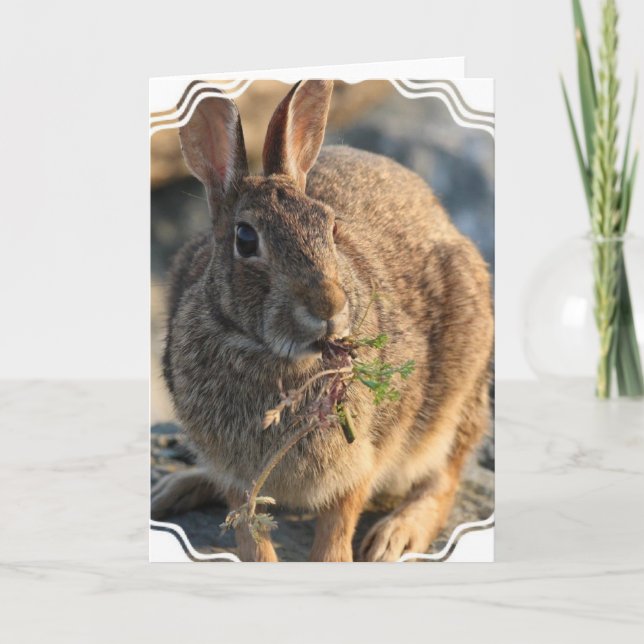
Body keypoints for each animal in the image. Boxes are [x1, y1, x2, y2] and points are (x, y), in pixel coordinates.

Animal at [155, 79, 493, 562]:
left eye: (331, 227)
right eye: (245, 239)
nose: (328, 307)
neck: (275, 358)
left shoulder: (361, 456)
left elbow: (339, 520)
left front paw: (334, 560)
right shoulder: (236, 471)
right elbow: (249, 529)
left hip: (456, 390)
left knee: (444, 476)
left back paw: (394, 537)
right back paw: (173, 489)